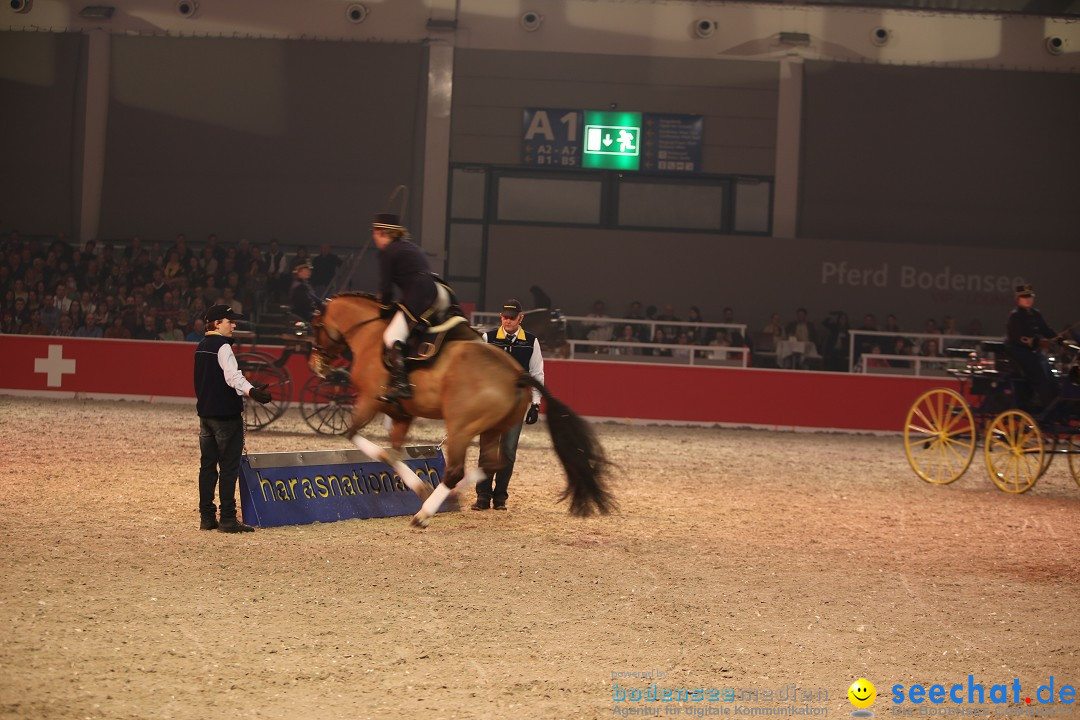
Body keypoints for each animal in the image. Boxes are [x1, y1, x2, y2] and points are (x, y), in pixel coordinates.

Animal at [311, 293, 617, 528]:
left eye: (316, 324)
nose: (317, 365)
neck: (374, 335)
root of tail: (515, 375)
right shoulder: (401, 414)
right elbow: (392, 454)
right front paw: (421, 486)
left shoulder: (369, 402)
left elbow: (359, 439)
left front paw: (424, 492)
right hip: (493, 429)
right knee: (494, 464)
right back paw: (451, 495)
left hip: (460, 428)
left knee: (457, 471)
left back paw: (426, 513)